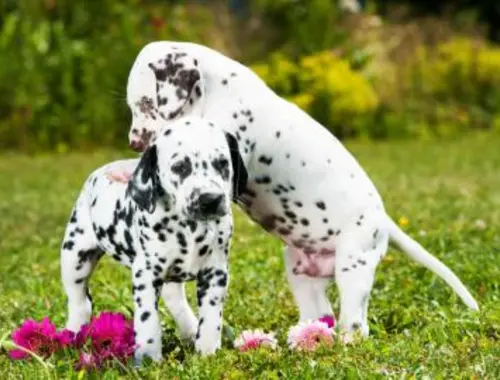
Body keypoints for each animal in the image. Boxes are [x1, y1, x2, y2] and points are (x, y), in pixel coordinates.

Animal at [60, 116, 248, 362]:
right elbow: (148, 320)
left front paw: (207, 353)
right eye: (179, 167)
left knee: (175, 300)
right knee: (80, 302)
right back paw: (72, 336)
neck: (189, 228)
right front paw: (149, 358)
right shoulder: (146, 275)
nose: (210, 199)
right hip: (75, 258)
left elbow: (210, 318)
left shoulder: (215, 272)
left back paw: (190, 331)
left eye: (222, 163)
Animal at [109, 40, 476, 342]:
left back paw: (345, 343)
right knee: (320, 314)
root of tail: (383, 221)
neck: (218, 93)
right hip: (300, 271)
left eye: (145, 103)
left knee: (356, 323)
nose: (134, 142)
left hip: (353, 266)